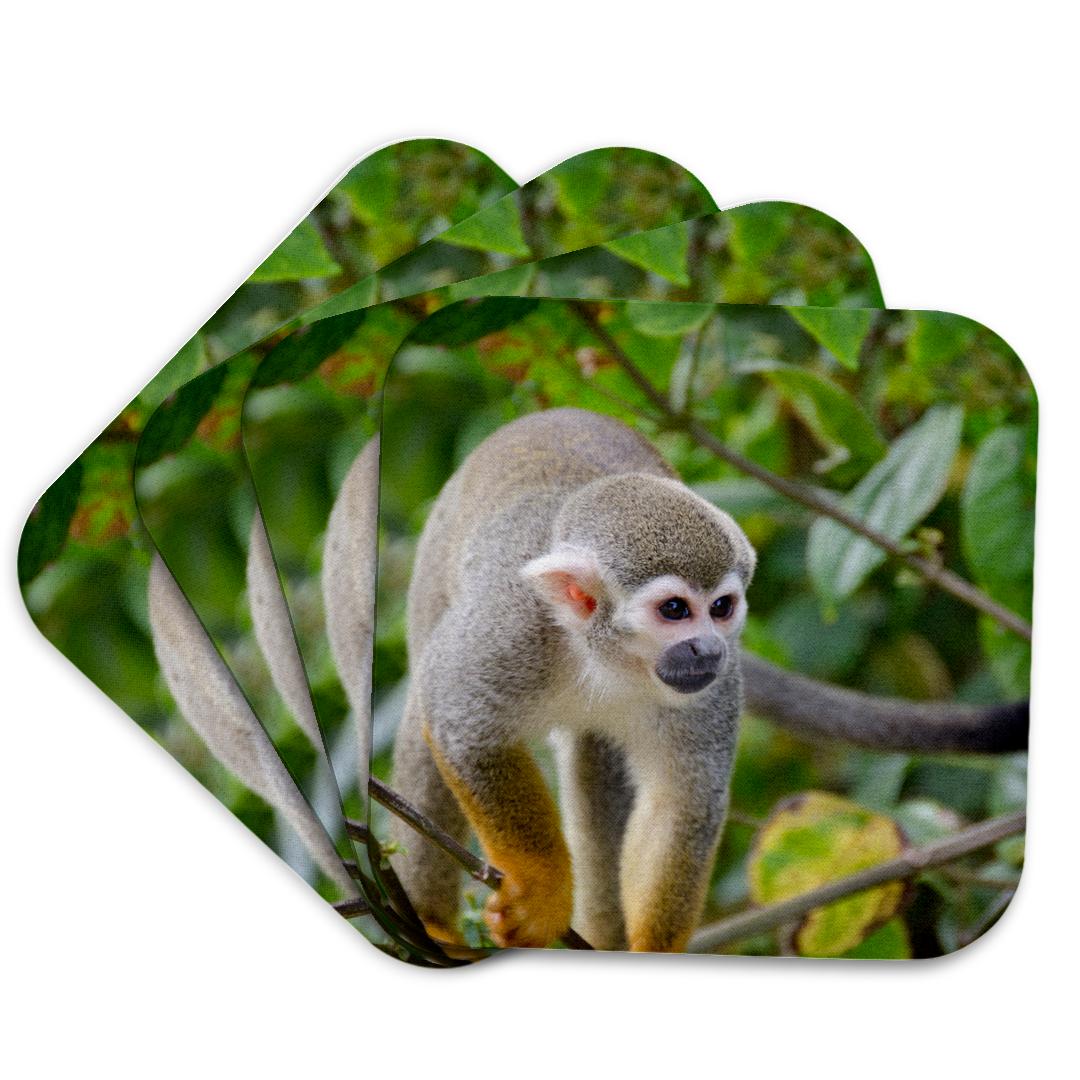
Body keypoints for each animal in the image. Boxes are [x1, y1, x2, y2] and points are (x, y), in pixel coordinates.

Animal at [389, 407, 757, 952]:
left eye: (721, 607)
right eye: (674, 609)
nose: (707, 648)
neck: (601, 654)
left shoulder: (715, 683)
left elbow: (681, 800)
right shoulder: (509, 626)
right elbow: (462, 729)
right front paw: (541, 889)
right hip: (433, 573)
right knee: (424, 712)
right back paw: (433, 926)